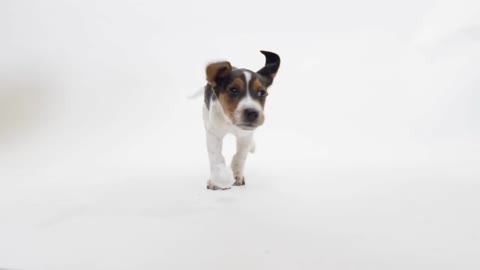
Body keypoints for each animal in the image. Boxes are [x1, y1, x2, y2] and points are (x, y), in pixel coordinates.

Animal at [203, 50, 282, 190]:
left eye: (262, 93)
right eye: (233, 90)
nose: (252, 113)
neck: (231, 123)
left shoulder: (245, 136)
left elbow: (240, 156)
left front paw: (237, 176)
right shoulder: (214, 135)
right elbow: (216, 157)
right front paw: (218, 180)